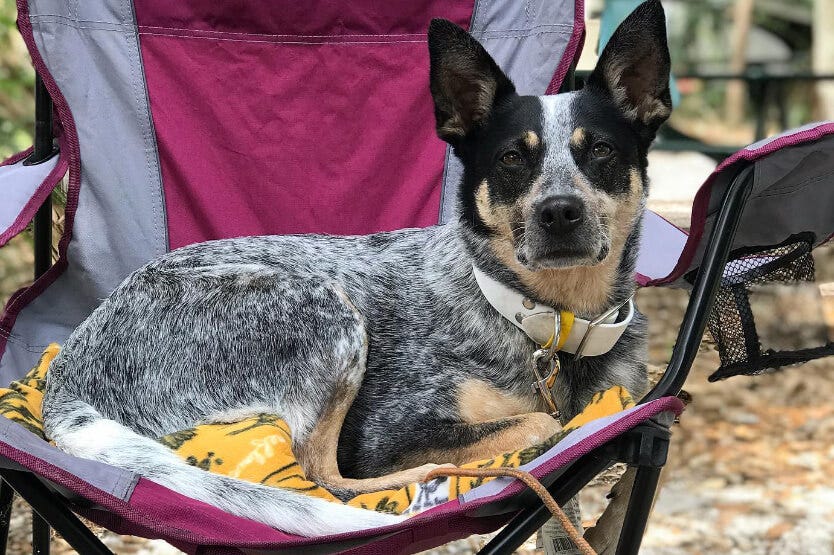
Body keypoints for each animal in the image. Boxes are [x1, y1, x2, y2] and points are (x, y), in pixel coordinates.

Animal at [42, 0, 672, 540]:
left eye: (601, 151)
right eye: (512, 157)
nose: (559, 212)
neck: (550, 323)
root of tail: (66, 377)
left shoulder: (626, 402)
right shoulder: (388, 434)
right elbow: (544, 426)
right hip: (324, 311)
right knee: (322, 479)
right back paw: (428, 486)